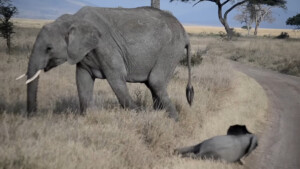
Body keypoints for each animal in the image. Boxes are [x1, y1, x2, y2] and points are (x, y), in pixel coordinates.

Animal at [17, 6, 195, 120]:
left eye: (49, 48)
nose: (32, 116)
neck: (73, 19)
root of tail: (185, 34)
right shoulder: (83, 54)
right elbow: (82, 80)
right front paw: (88, 116)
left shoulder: (106, 47)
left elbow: (116, 79)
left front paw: (138, 115)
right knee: (154, 85)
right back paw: (162, 116)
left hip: (170, 50)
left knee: (155, 82)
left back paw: (173, 120)